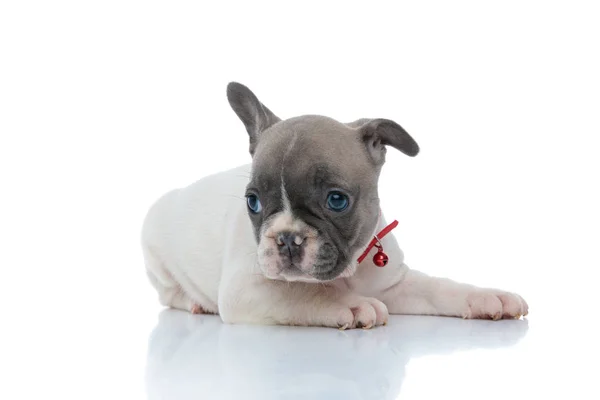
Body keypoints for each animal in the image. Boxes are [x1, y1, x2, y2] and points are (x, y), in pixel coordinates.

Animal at [139, 83, 524, 330]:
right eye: (253, 201)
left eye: (336, 200)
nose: (287, 238)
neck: (348, 272)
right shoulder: (245, 289)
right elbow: (298, 293)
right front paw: (347, 304)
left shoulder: (396, 285)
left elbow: (439, 288)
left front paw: (489, 297)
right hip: (155, 249)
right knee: (169, 292)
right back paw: (196, 302)